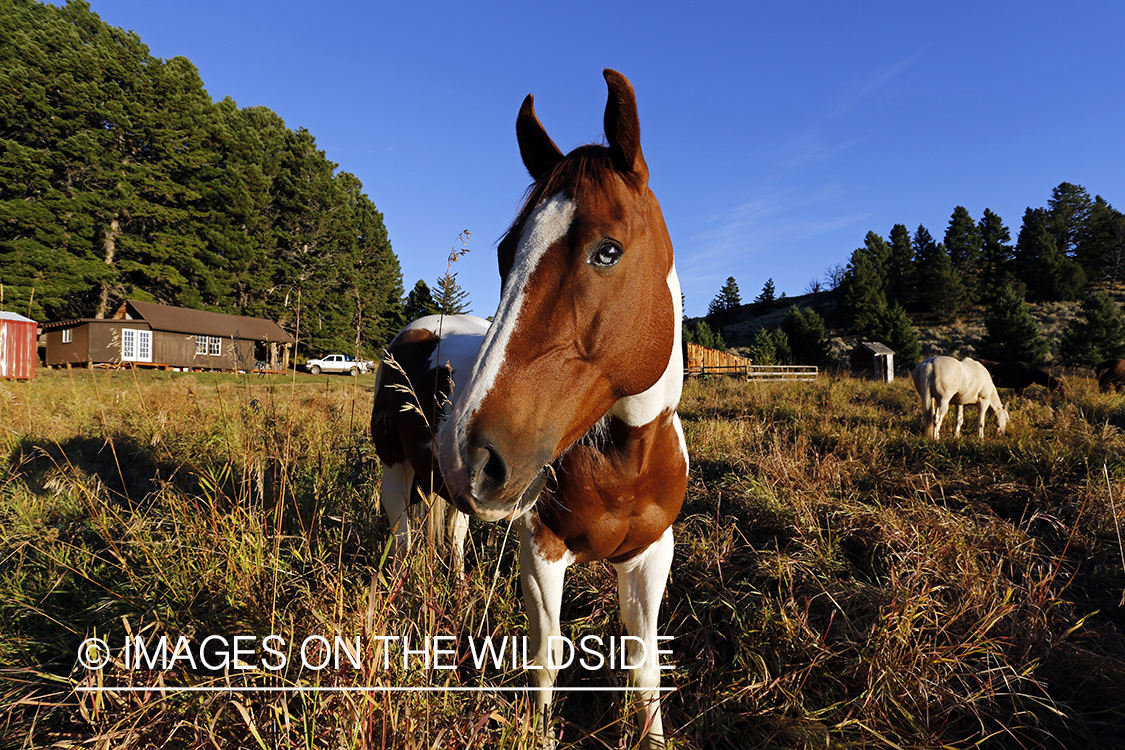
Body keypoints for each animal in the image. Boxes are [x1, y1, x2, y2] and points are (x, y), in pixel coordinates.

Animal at [372, 70, 687, 749]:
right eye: (504, 254)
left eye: (607, 250)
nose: (475, 453)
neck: (625, 460)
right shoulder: (540, 549)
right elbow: (547, 658)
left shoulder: (650, 557)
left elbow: (645, 665)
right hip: (397, 475)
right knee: (405, 546)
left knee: (453, 536)